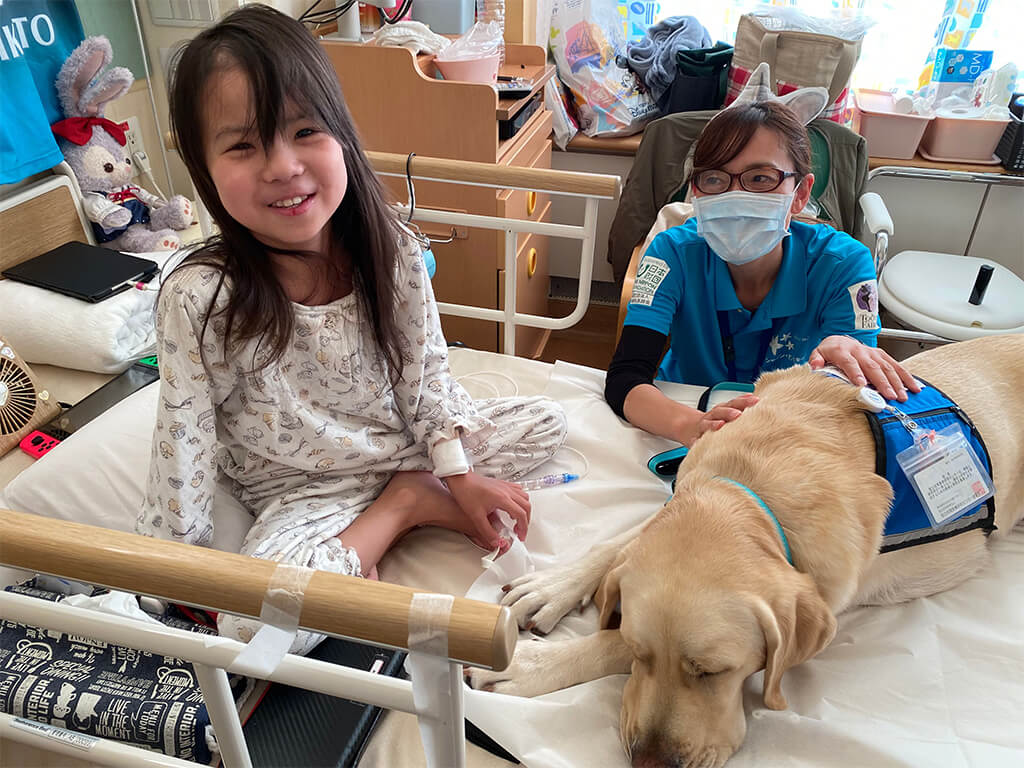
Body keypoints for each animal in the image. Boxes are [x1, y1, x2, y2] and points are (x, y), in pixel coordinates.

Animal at [468, 335, 1024, 768]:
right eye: (645, 654)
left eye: (714, 672)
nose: (650, 762)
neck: (753, 488)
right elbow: (614, 548)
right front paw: (550, 588)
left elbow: (607, 642)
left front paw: (526, 665)